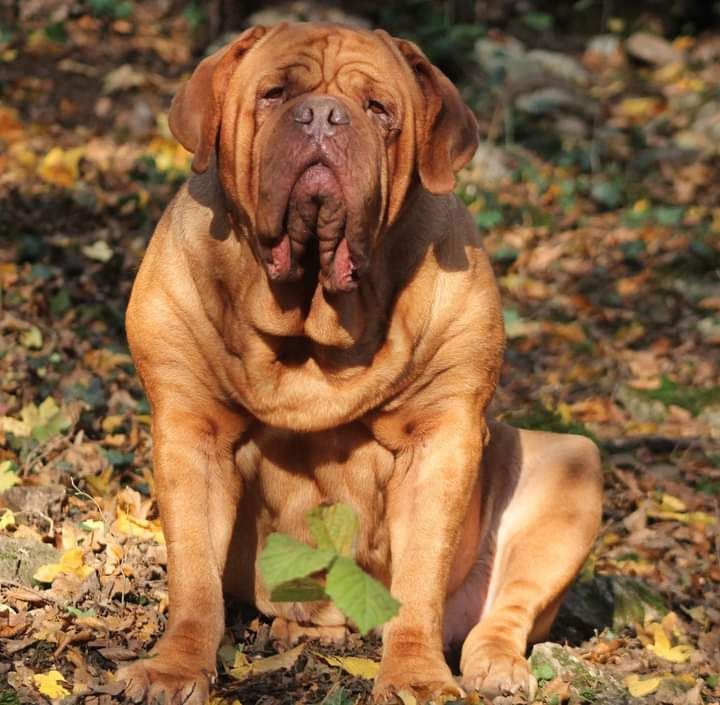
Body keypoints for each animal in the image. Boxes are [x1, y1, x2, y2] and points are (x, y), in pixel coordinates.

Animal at [121, 22, 604, 704]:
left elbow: (419, 579)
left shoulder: (441, 439)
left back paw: (497, 665)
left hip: (572, 464)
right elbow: (193, 573)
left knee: (508, 607)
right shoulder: (192, 430)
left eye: (378, 109)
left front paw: (417, 678)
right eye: (274, 94)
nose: (323, 116)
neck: (312, 316)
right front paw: (173, 668)